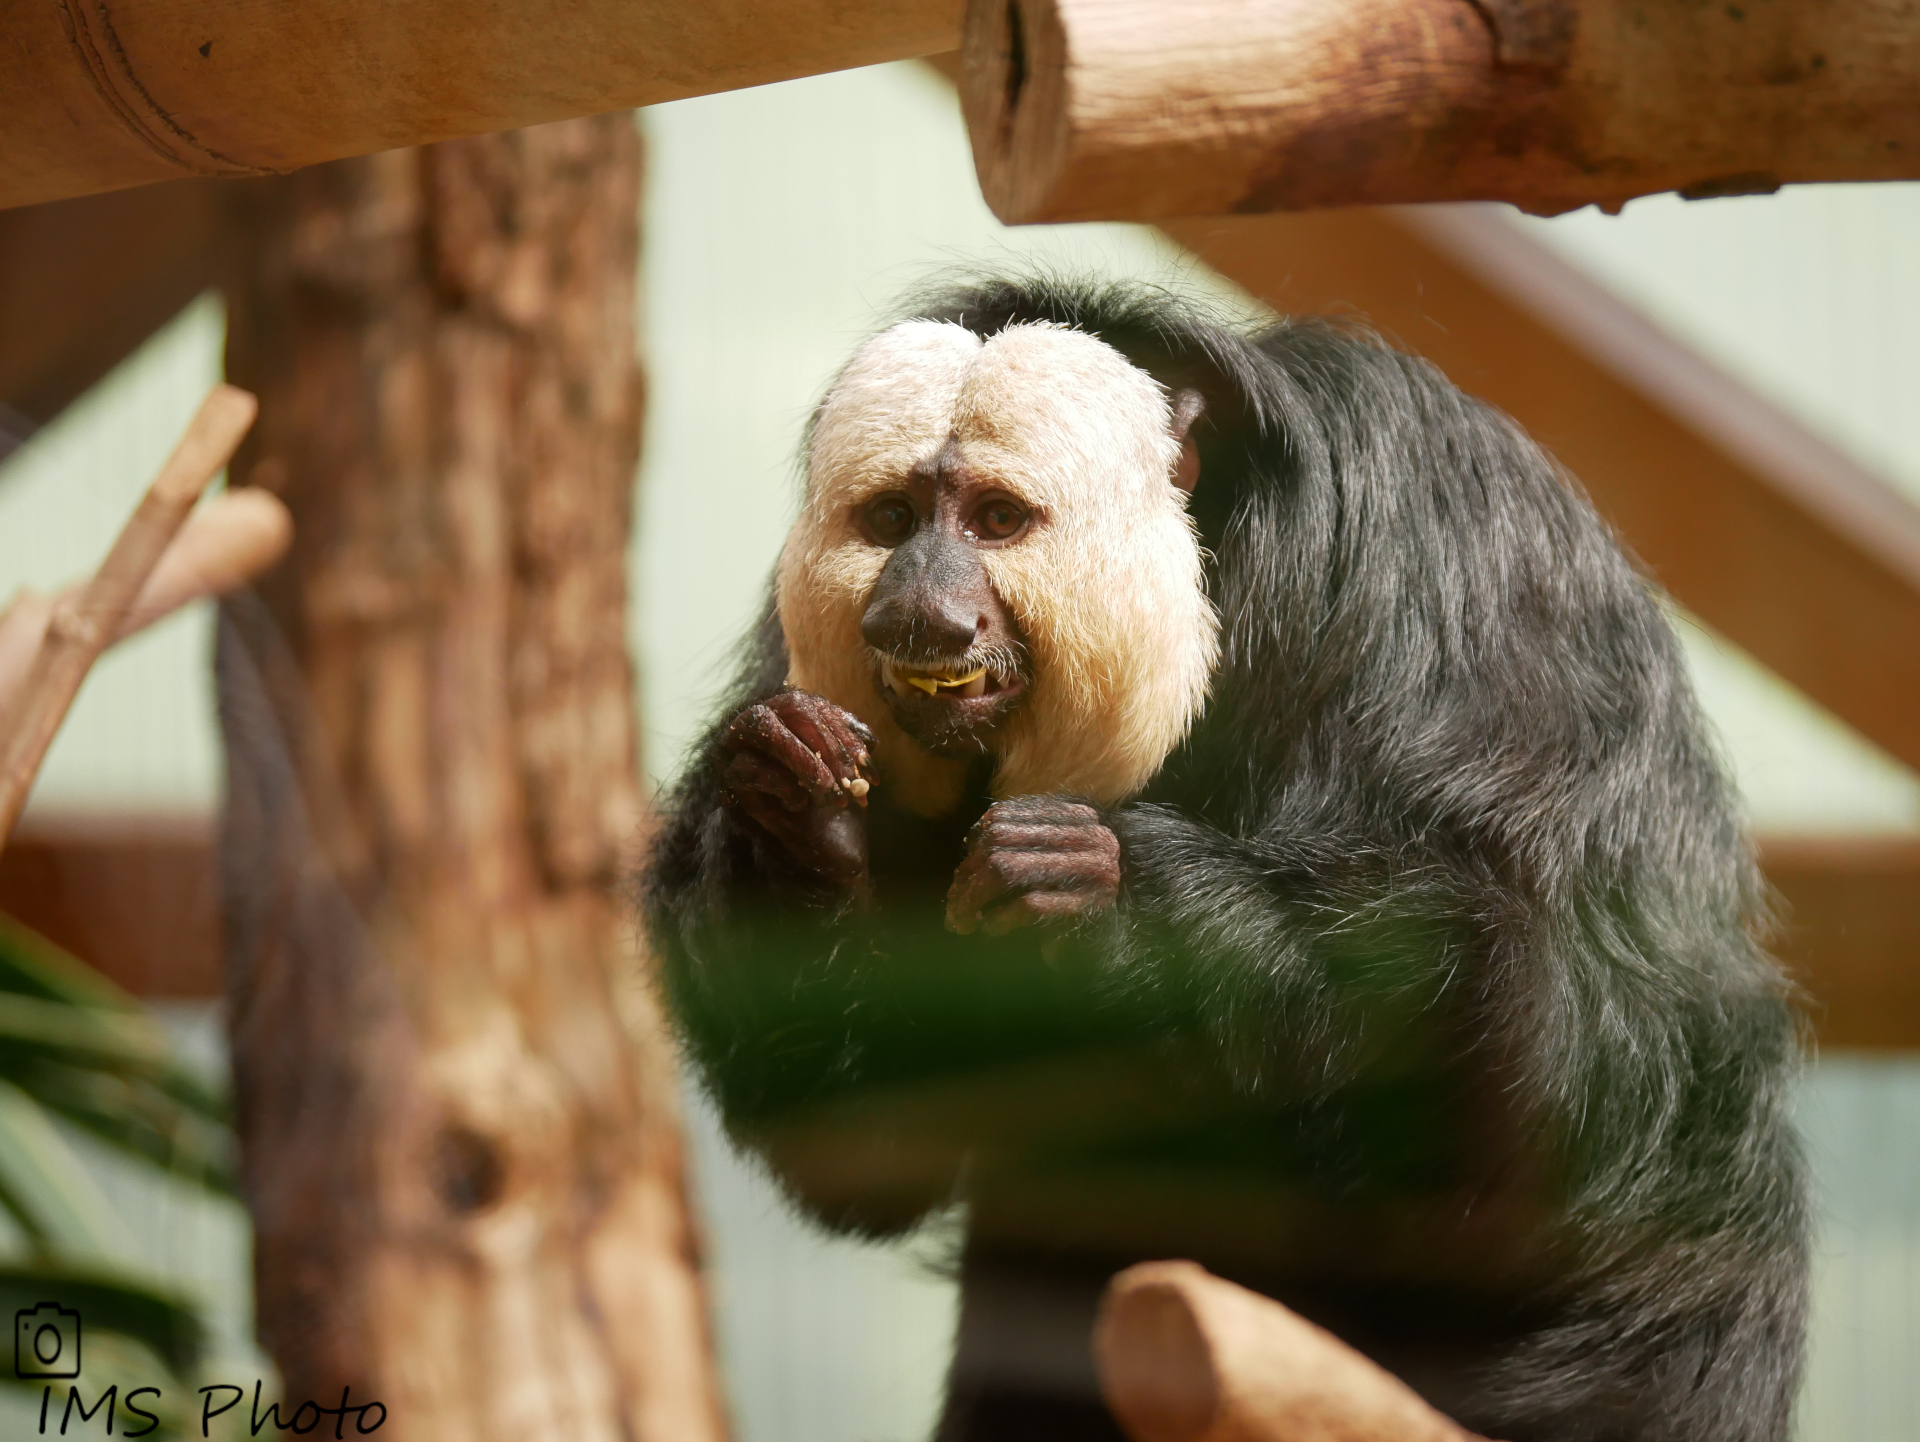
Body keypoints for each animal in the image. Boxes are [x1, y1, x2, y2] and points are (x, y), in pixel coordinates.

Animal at [641, 276, 1797, 1436]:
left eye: (996, 519)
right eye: (891, 520)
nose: (915, 608)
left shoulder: (1460, 579)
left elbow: (1573, 1082)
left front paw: (1113, 890)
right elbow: (874, 1143)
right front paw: (794, 823)